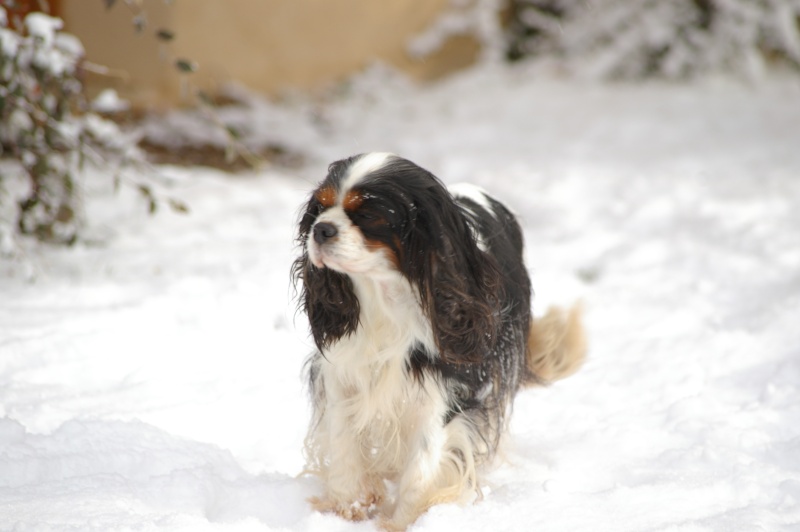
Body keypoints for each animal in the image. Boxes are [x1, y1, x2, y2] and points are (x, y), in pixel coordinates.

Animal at [290, 153, 584, 528]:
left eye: (368, 215)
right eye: (321, 208)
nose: (321, 229)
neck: (385, 296)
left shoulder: (443, 390)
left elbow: (421, 466)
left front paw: (402, 523)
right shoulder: (343, 373)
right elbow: (344, 447)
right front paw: (348, 509)